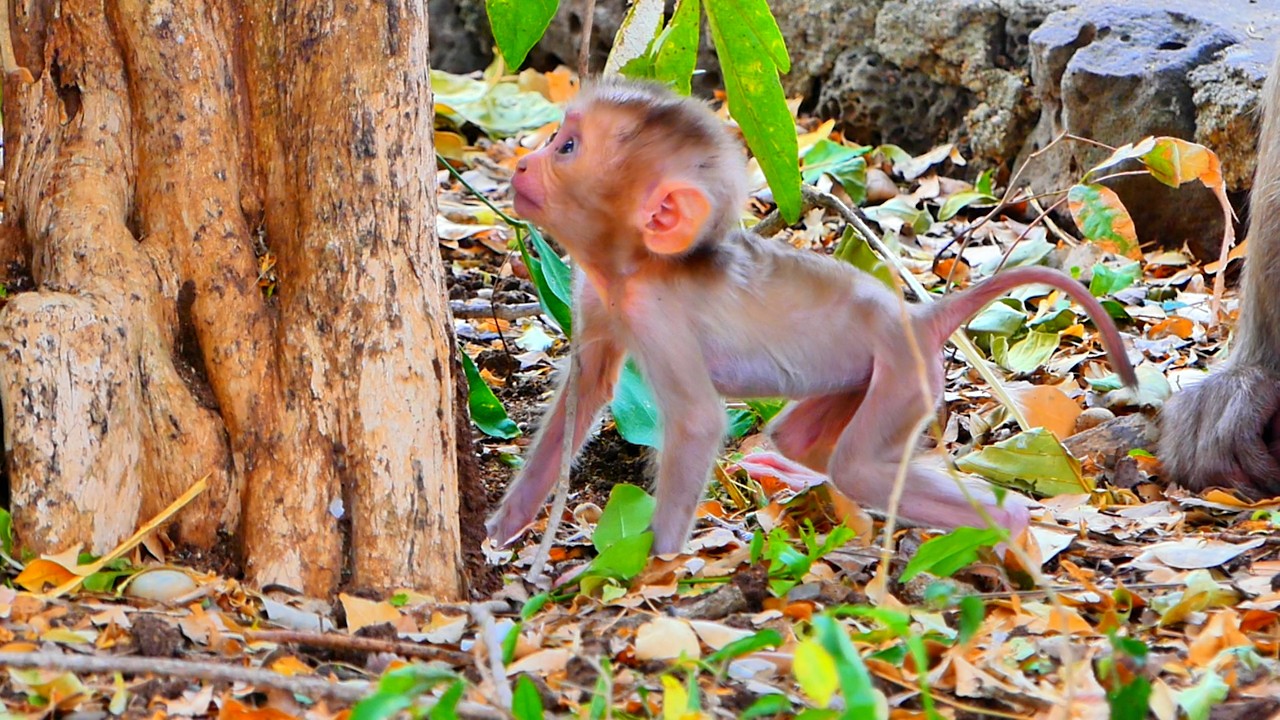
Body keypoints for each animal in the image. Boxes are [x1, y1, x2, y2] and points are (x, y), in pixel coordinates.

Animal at [486, 78, 1139, 555]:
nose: (522, 164)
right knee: (807, 442)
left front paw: (653, 563)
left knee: (860, 465)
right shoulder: (595, 296)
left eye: (567, 149)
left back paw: (1009, 522)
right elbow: (588, 389)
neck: (634, 268)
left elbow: (696, 422)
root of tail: (919, 317)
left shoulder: (658, 316)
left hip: (906, 377)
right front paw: (508, 520)